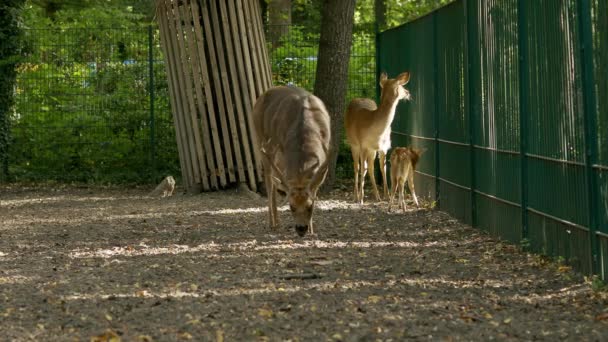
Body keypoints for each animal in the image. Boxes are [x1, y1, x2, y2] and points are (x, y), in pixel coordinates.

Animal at [253, 85, 332, 236]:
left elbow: (315, 189)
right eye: (291, 206)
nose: (301, 229)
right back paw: (273, 223)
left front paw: (312, 230)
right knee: (269, 182)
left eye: (310, 206)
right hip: (261, 143)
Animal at [344, 70, 410, 203]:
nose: (408, 93)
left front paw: (387, 196)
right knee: (357, 167)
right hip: (353, 144)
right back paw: (356, 196)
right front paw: (361, 198)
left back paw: (377, 196)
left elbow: (383, 169)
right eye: (401, 85)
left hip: (371, 151)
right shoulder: (363, 145)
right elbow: (362, 168)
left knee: (369, 167)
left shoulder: (383, 148)